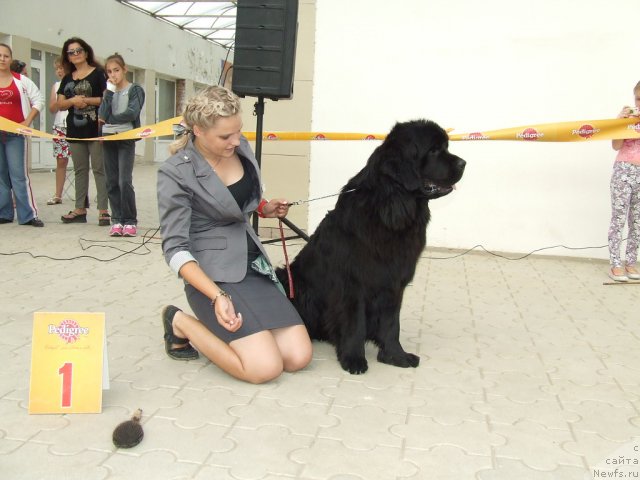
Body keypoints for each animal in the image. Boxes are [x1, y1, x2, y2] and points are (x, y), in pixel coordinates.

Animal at [276, 120, 464, 376]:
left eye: (446, 147)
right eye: (434, 150)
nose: (464, 163)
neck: (393, 211)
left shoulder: (394, 282)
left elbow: (392, 323)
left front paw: (395, 356)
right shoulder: (353, 283)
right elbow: (355, 323)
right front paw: (354, 359)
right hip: (290, 279)